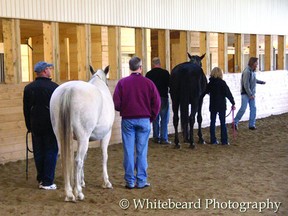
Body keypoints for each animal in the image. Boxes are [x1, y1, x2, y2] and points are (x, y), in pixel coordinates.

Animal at [50, 66, 114, 202]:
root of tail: (69, 90)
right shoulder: (106, 135)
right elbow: (104, 156)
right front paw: (106, 182)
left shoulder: (86, 139)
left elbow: (85, 158)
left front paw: (82, 181)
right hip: (83, 137)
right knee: (77, 160)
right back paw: (78, 193)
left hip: (61, 135)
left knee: (65, 160)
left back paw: (69, 193)